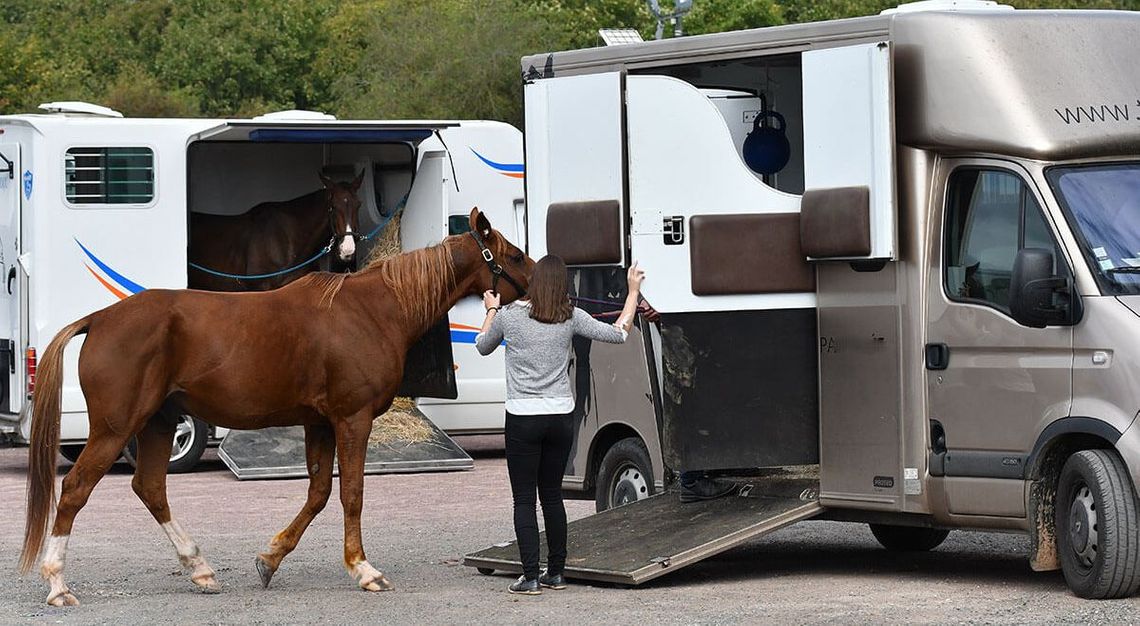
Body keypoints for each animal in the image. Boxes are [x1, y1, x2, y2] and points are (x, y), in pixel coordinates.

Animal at [18, 208, 533, 606]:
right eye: (513, 255)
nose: (542, 283)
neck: (374, 308)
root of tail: (100, 318)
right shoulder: (352, 420)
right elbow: (351, 494)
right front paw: (363, 569)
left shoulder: (320, 424)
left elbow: (319, 494)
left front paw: (269, 559)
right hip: (116, 427)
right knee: (76, 490)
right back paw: (58, 584)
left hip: (158, 424)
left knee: (150, 489)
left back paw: (200, 569)